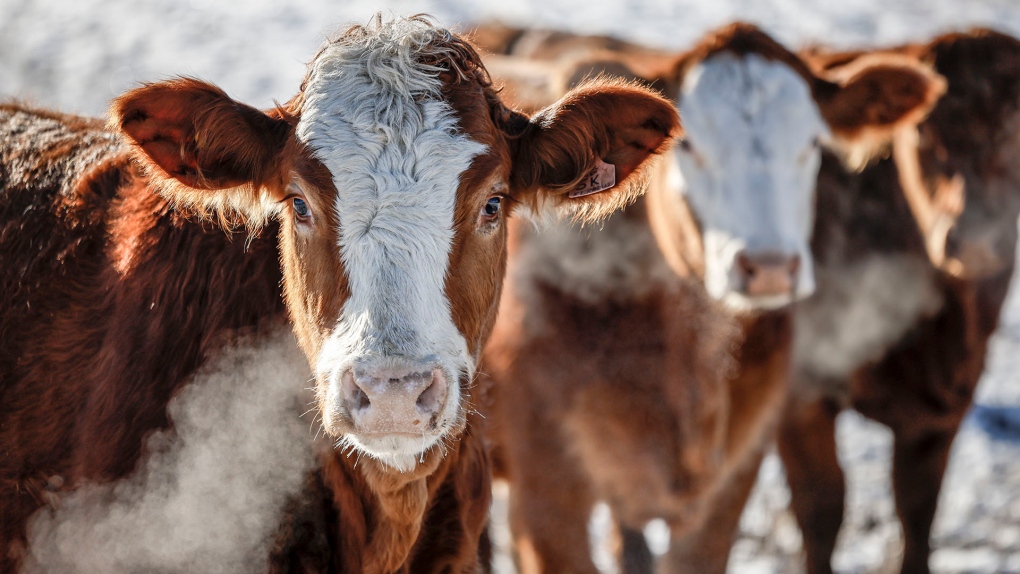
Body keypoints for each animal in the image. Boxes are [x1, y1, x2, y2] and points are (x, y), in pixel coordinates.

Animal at [775, 29, 1020, 574]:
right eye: (921, 135)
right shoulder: (801, 394)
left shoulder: (943, 411)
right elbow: (822, 510)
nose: (974, 239)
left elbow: (918, 510)